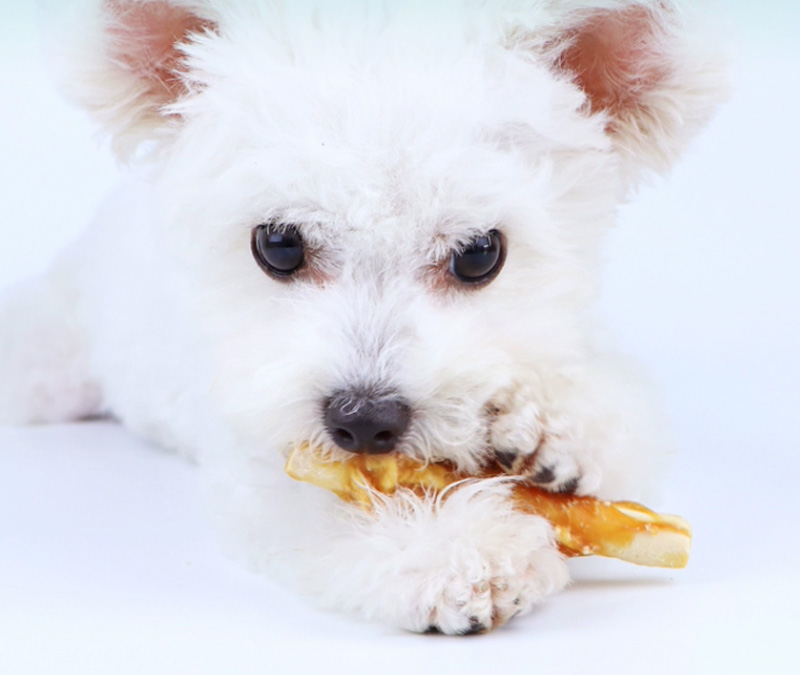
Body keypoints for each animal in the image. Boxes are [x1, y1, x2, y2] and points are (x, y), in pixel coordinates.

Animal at [1, 0, 724, 632]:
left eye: (480, 253)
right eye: (279, 244)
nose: (364, 420)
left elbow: (620, 413)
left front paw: (555, 423)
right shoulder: (263, 459)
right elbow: (326, 506)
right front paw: (454, 550)